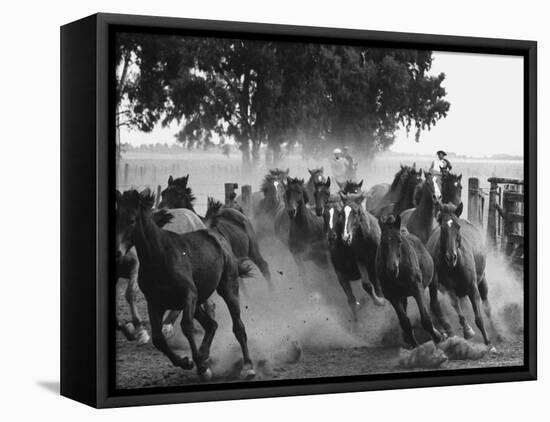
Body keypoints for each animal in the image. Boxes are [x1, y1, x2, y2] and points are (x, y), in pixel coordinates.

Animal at [118, 190, 256, 380]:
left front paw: (202, 368)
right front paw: (187, 362)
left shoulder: (189, 294)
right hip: (198, 302)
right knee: (211, 324)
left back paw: (247, 366)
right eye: (116, 216)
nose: (118, 252)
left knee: (238, 327)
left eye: (132, 220)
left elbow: (186, 326)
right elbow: (158, 339)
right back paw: (205, 355)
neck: (160, 256)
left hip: (228, 289)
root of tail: (215, 234)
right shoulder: (154, 302)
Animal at [378, 216, 446, 348]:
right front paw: (415, 344)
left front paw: (437, 337)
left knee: (434, 303)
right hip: (402, 296)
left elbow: (425, 318)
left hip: (433, 281)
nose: (392, 269)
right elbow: (405, 322)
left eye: (399, 241)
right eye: (383, 242)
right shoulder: (393, 297)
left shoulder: (417, 289)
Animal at [426, 203, 500, 352]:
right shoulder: (447, 288)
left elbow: (479, 317)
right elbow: (457, 307)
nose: (451, 257)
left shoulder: (473, 288)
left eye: (458, 227)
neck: (454, 267)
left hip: (482, 280)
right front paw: (468, 330)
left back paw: (496, 333)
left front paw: (489, 343)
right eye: (443, 228)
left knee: (487, 306)